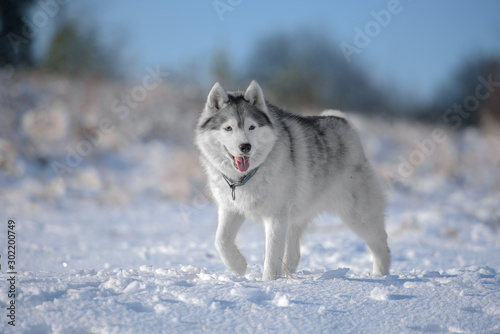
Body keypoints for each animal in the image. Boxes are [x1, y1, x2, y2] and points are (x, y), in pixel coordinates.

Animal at [195, 80, 390, 280]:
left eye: (251, 127)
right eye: (228, 128)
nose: (245, 147)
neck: (247, 176)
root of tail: (344, 122)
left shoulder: (276, 216)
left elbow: (272, 255)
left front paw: (268, 281)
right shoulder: (231, 209)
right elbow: (221, 241)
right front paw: (238, 266)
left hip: (357, 215)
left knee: (380, 242)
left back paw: (380, 274)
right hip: (298, 215)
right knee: (294, 253)